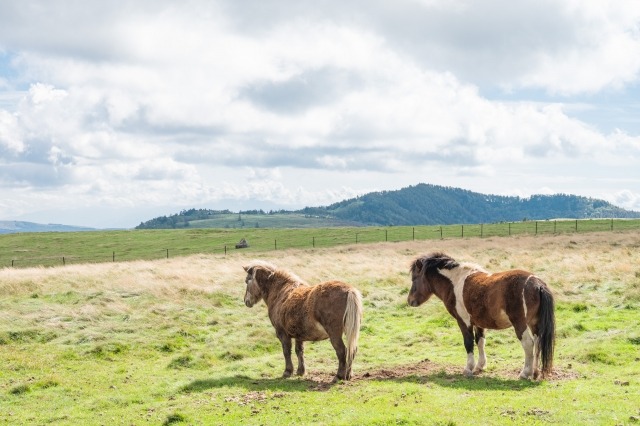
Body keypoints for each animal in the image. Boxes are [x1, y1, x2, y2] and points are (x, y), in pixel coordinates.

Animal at [407, 252, 555, 380]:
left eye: (414, 278)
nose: (410, 300)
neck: (455, 282)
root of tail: (537, 283)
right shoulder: (478, 323)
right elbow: (480, 342)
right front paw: (479, 366)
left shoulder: (464, 322)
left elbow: (468, 343)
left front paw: (468, 369)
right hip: (534, 323)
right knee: (538, 342)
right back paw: (535, 373)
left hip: (520, 324)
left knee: (528, 344)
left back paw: (525, 373)